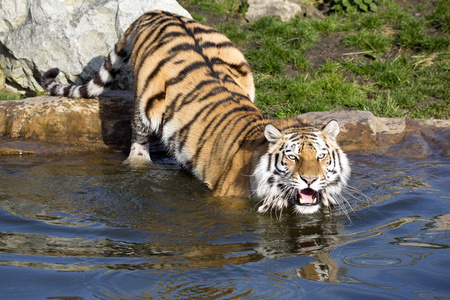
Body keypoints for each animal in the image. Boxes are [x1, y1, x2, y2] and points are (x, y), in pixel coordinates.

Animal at [41, 9, 352, 216]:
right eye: (292, 157)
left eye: (321, 157)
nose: (310, 180)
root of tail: (159, 12)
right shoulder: (228, 201)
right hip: (144, 104)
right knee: (139, 138)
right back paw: (139, 162)